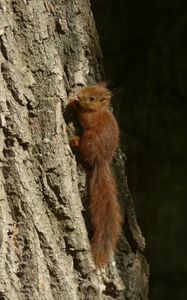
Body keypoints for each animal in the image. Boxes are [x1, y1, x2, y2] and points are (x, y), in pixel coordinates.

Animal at [68, 82, 122, 268]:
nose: (79, 96)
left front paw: (73, 104)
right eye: (88, 87)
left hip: (90, 142)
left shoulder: (92, 118)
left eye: (92, 98)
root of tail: (101, 160)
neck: (100, 110)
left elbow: (85, 118)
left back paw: (76, 142)